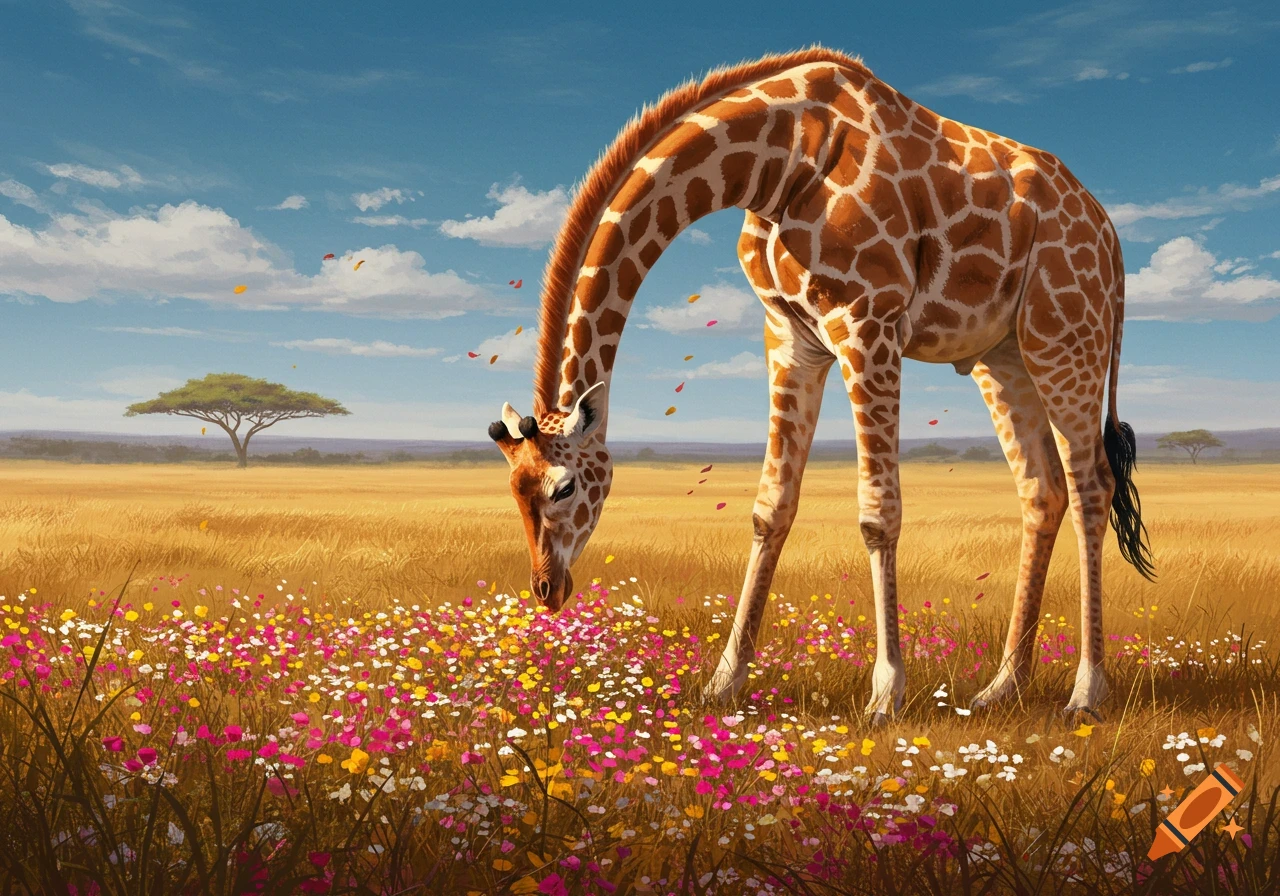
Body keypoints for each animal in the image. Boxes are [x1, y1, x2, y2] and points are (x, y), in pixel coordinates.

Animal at [488, 47, 1154, 722]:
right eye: (513, 489)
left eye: (567, 487)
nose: (546, 589)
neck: (778, 160)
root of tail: (1110, 235)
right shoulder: (792, 338)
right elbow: (770, 508)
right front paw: (724, 682)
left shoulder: (868, 324)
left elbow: (878, 513)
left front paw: (885, 695)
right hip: (1005, 355)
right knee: (1043, 490)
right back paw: (1003, 687)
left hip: (1065, 337)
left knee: (1093, 484)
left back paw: (1085, 694)